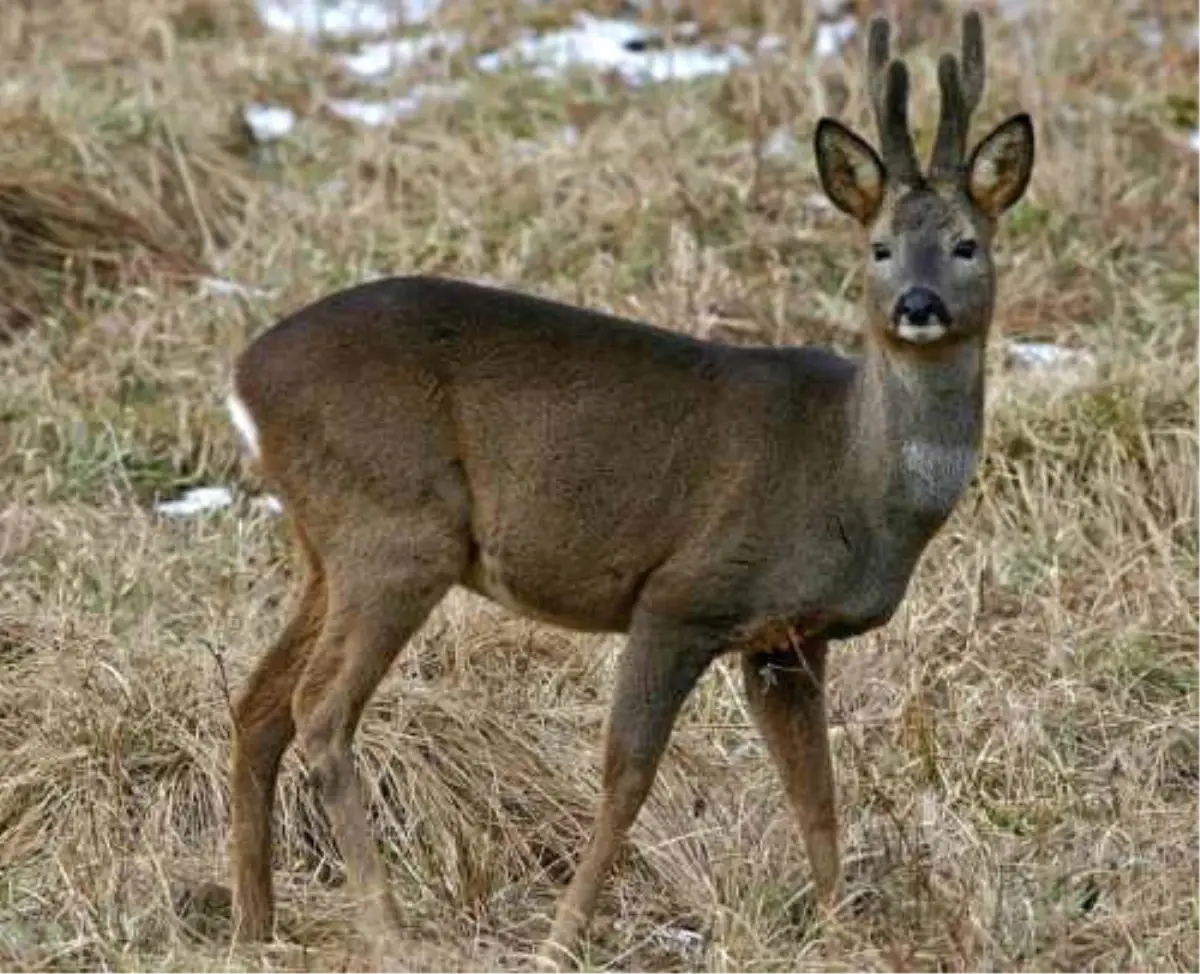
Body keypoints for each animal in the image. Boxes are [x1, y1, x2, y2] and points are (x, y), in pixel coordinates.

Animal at [223, 9, 1032, 964]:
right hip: (395, 529)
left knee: (258, 702)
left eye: (966, 245)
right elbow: (627, 775)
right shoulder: (684, 593)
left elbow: (816, 793)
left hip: (330, 545)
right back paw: (388, 935)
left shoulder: (787, 640)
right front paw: (560, 941)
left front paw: (839, 933)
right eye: (879, 248)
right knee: (319, 708)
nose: (917, 304)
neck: (853, 474)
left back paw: (253, 926)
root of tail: (244, 379)